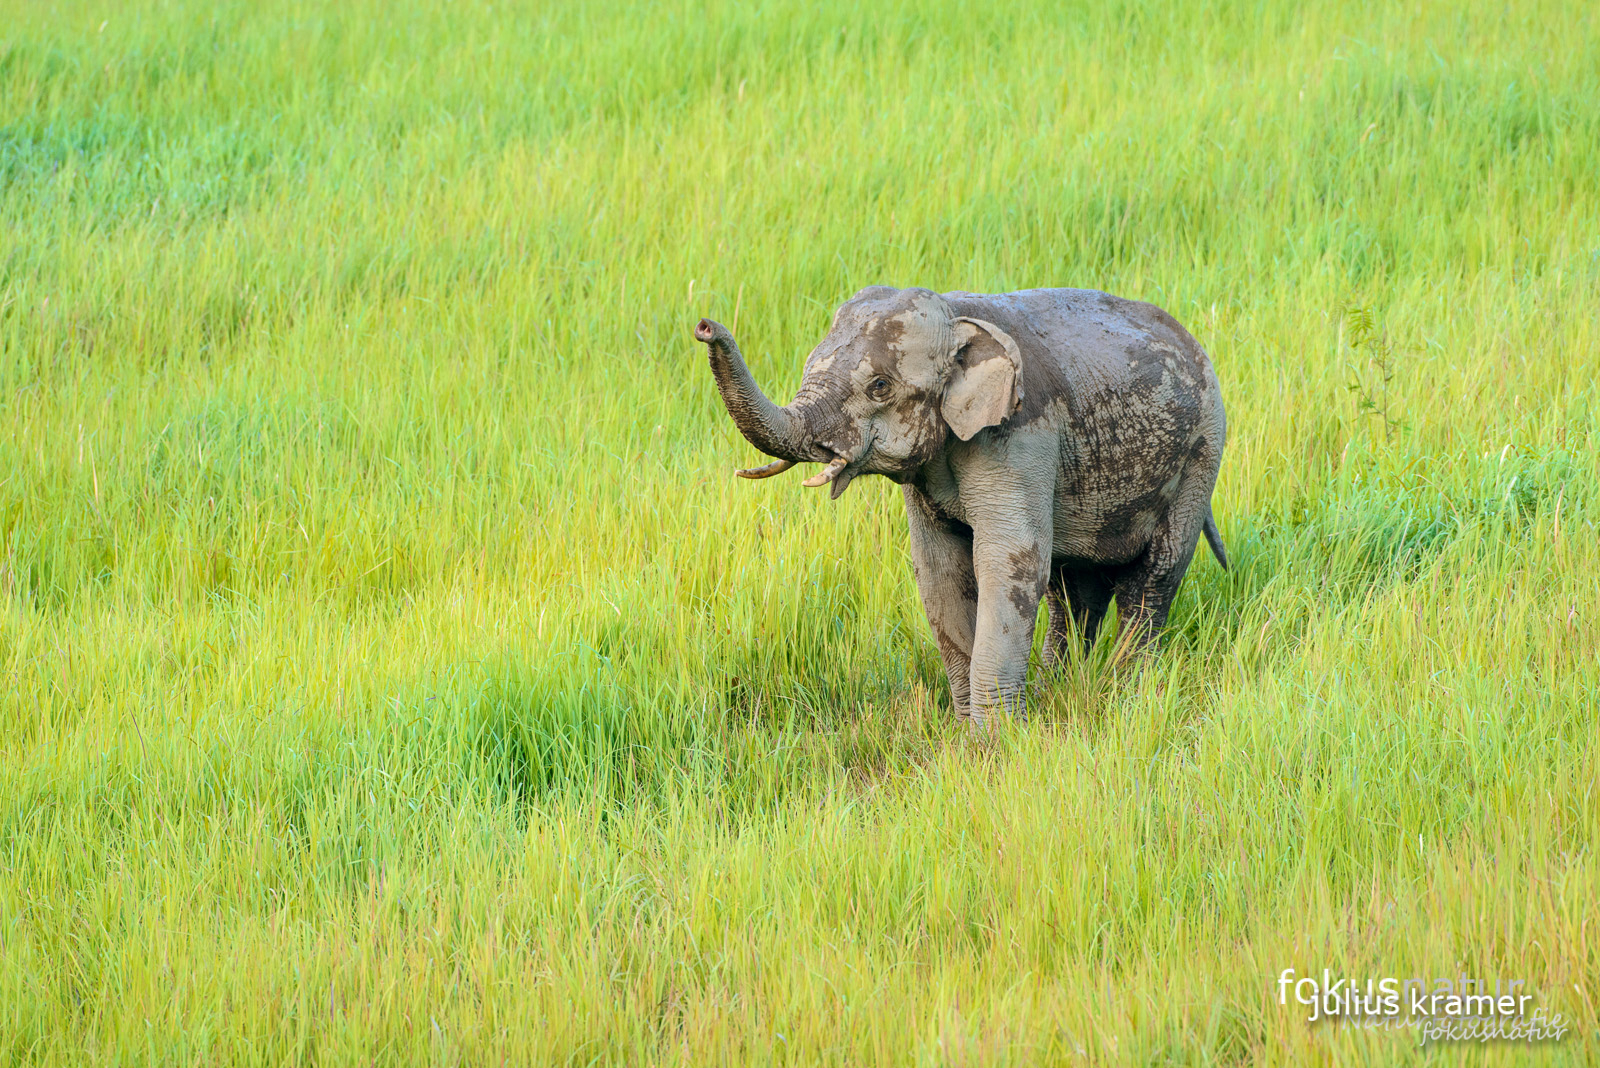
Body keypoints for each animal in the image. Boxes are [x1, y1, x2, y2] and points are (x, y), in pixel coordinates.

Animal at [694, 286, 1228, 725]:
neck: (956, 320)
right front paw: (966, 736)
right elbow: (939, 570)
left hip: (1202, 452)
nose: (704, 327)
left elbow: (1009, 561)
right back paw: (1059, 686)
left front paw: (994, 746)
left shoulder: (1019, 434)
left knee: (1153, 577)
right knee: (1071, 588)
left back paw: (1130, 691)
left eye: (880, 386)